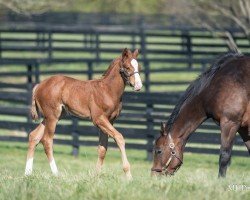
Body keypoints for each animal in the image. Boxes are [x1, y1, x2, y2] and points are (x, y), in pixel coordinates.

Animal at [25, 48, 144, 180]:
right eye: (127, 67)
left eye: (138, 66)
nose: (138, 86)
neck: (107, 90)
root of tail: (39, 86)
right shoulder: (98, 119)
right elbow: (119, 137)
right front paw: (128, 175)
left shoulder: (109, 120)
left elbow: (102, 149)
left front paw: (96, 176)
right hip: (52, 117)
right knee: (46, 140)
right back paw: (56, 174)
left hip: (53, 116)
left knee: (34, 136)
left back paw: (27, 174)